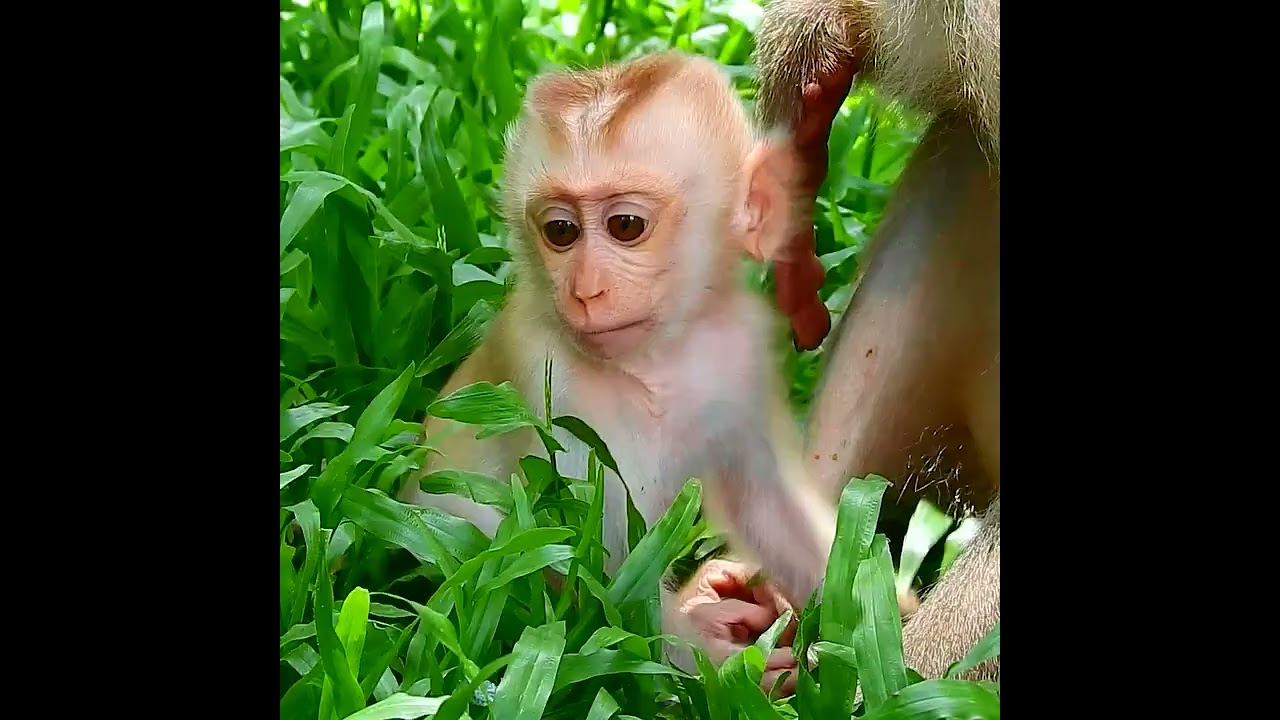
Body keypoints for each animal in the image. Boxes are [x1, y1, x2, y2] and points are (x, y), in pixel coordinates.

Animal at [397, 51, 837, 690]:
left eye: (626, 225)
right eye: (560, 231)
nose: (585, 291)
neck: (658, 358)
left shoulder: (744, 352)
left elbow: (764, 501)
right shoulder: (552, 376)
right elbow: (594, 564)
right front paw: (724, 667)